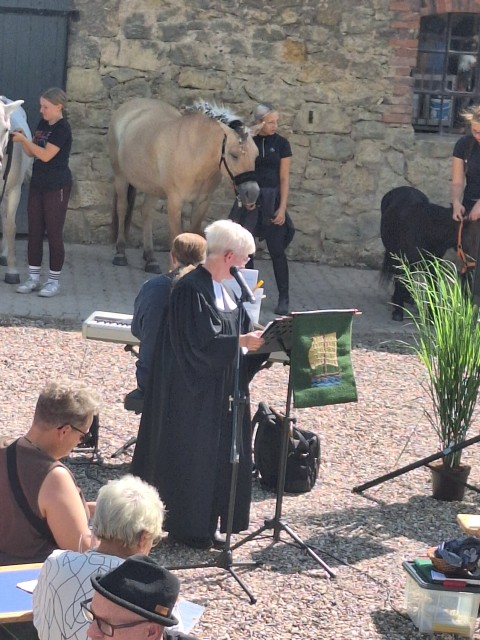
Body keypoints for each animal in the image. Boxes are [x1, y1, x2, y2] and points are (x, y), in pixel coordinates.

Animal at [108, 98, 260, 272]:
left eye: (256, 155)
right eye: (234, 155)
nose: (252, 193)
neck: (193, 152)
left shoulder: (202, 202)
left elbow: (194, 234)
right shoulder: (175, 202)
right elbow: (176, 237)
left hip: (152, 188)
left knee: (146, 213)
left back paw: (151, 258)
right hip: (120, 177)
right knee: (122, 208)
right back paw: (120, 253)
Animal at [380, 188, 478, 322]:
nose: (473, 266)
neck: (427, 230)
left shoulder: (433, 264)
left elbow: (433, 287)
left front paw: (433, 316)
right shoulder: (403, 260)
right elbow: (400, 281)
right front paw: (398, 312)